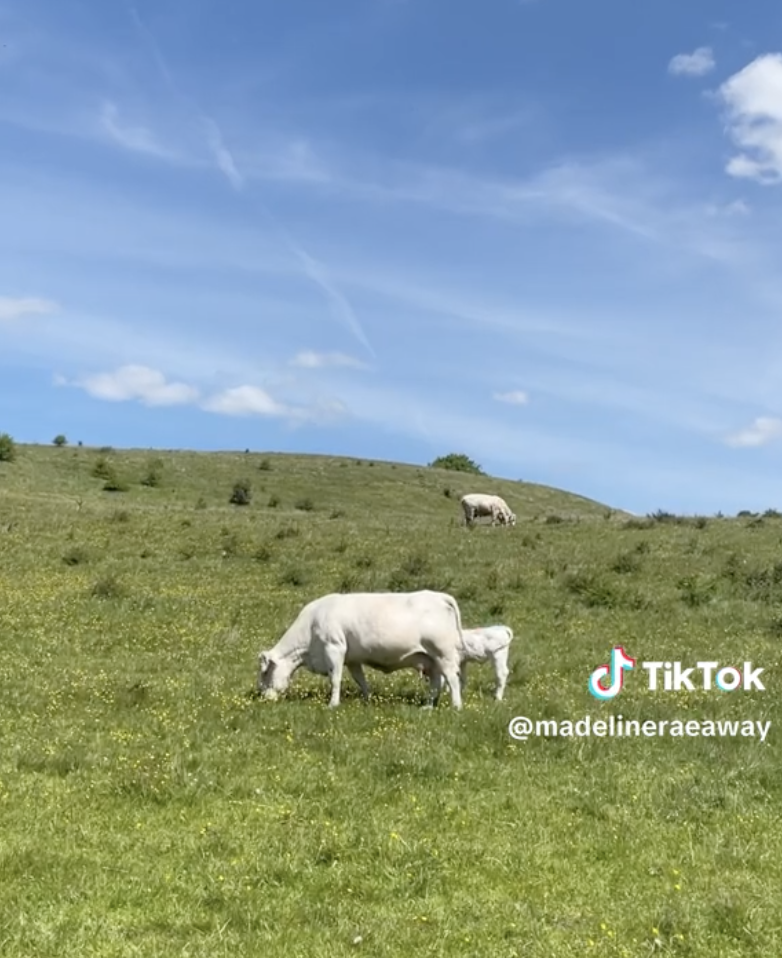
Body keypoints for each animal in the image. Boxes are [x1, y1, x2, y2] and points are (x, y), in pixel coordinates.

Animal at [256, 590, 466, 709]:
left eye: (265, 673)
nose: (262, 697)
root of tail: (439, 596)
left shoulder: (334, 649)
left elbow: (335, 679)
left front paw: (332, 704)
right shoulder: (352, 659)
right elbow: (361, 680)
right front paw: (367, 700)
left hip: (443, 654)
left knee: (452, 680)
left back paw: (456, 707)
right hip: (431, 660)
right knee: (436, 683)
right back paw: (428, 707)